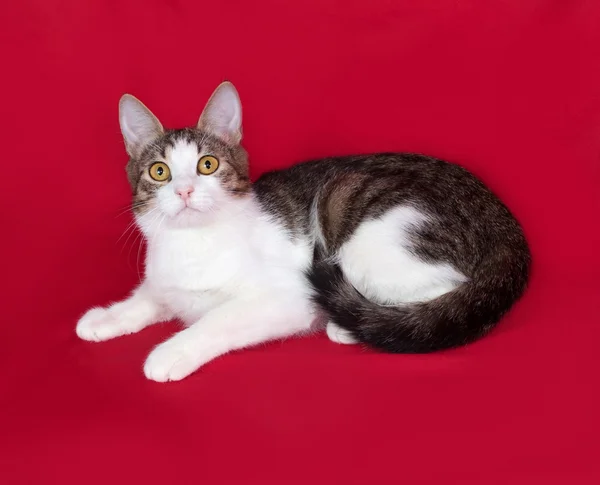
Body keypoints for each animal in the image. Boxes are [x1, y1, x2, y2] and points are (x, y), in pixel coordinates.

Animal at [75, 81, 528, 380]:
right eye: (159, 171)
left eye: (208, 164)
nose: (185, 190)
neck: (193, 244)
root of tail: (499, 216)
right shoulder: (165, 282)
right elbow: (147, 298)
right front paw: (106, 318)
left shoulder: (285, 297)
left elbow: (218, 319)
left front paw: (170, 352)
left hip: (366, 234)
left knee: (445, 295)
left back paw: (354, 326)